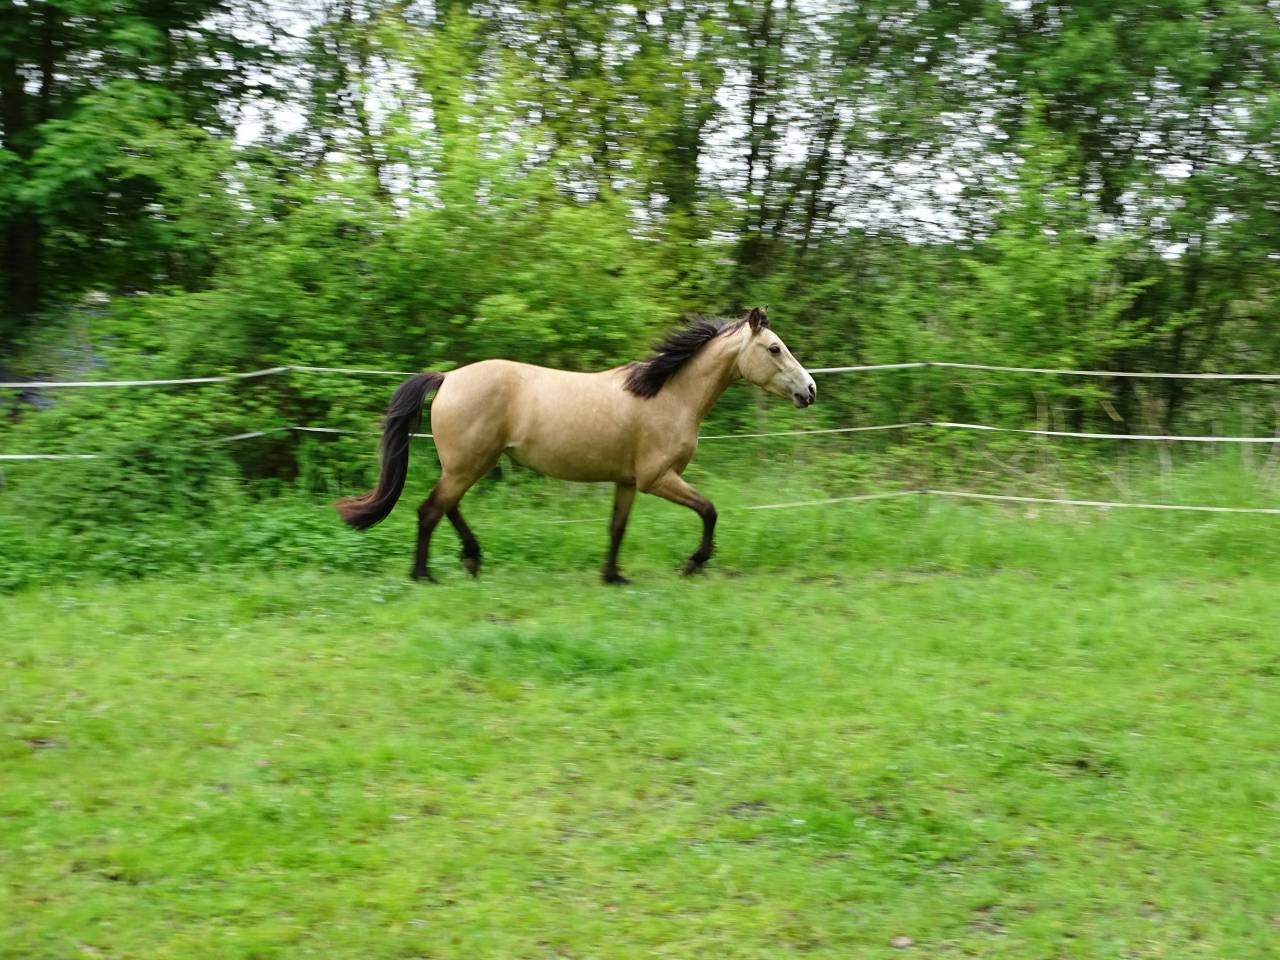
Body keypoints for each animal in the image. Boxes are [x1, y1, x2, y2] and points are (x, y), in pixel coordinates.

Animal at [335, 306, 816, 583]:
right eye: (775, 349)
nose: (810, 390)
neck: (668, 395)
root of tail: (448, 377)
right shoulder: (656, 477)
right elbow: (709, 510)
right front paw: (693, 563)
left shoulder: (627, 481)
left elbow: (617, 527)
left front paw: (613, 576)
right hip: (468, 463)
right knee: (430, 509)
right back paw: (424, 575)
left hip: (470, 462)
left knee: (446, 506)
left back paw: (471, 560)